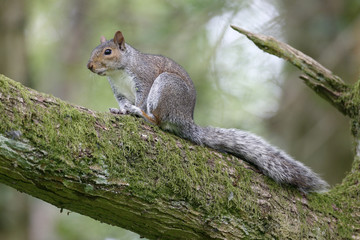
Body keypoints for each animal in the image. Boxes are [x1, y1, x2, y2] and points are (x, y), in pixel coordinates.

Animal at [87, 30, 330, 193]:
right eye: (94, 51)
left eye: (108, 52)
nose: (89, 66)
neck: (119, 72)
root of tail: (186, 120)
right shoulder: (119, 91)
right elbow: (122, 103)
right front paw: (120, 111)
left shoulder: (144, 81)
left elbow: (142, 99)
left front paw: (133, 110)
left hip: (166, 87)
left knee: (158, 120)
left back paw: (143, 115)